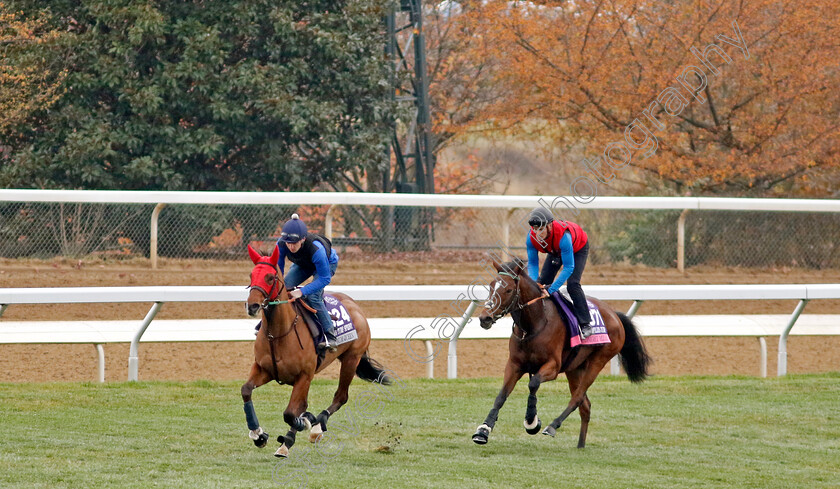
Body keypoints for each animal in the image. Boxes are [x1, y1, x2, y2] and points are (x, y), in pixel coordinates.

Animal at [240, 244, 390, 458]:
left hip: (351, 359)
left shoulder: (304, 376)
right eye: (251, 275)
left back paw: (316, 427)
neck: (278, 334)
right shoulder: (264, 369)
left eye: (270, 277)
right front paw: (259, 435)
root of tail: (355, 305)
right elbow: (246, 390)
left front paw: (301, 426)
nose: (252, 306)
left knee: (341, 396)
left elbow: (291, 412)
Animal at [472, 260, 648, 446]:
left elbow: (533, 383)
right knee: (585, 406)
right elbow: (501, 395)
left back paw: (552, 426)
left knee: (578, 397)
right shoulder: (514, 365)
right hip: (575, 368)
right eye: (491, 287)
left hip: (598, 361)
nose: (485, 318)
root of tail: (614, 314)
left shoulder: (553, 366)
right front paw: (483, 430)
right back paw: (580, 446)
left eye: (509, 290)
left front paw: (531, 421)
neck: (533, 325)